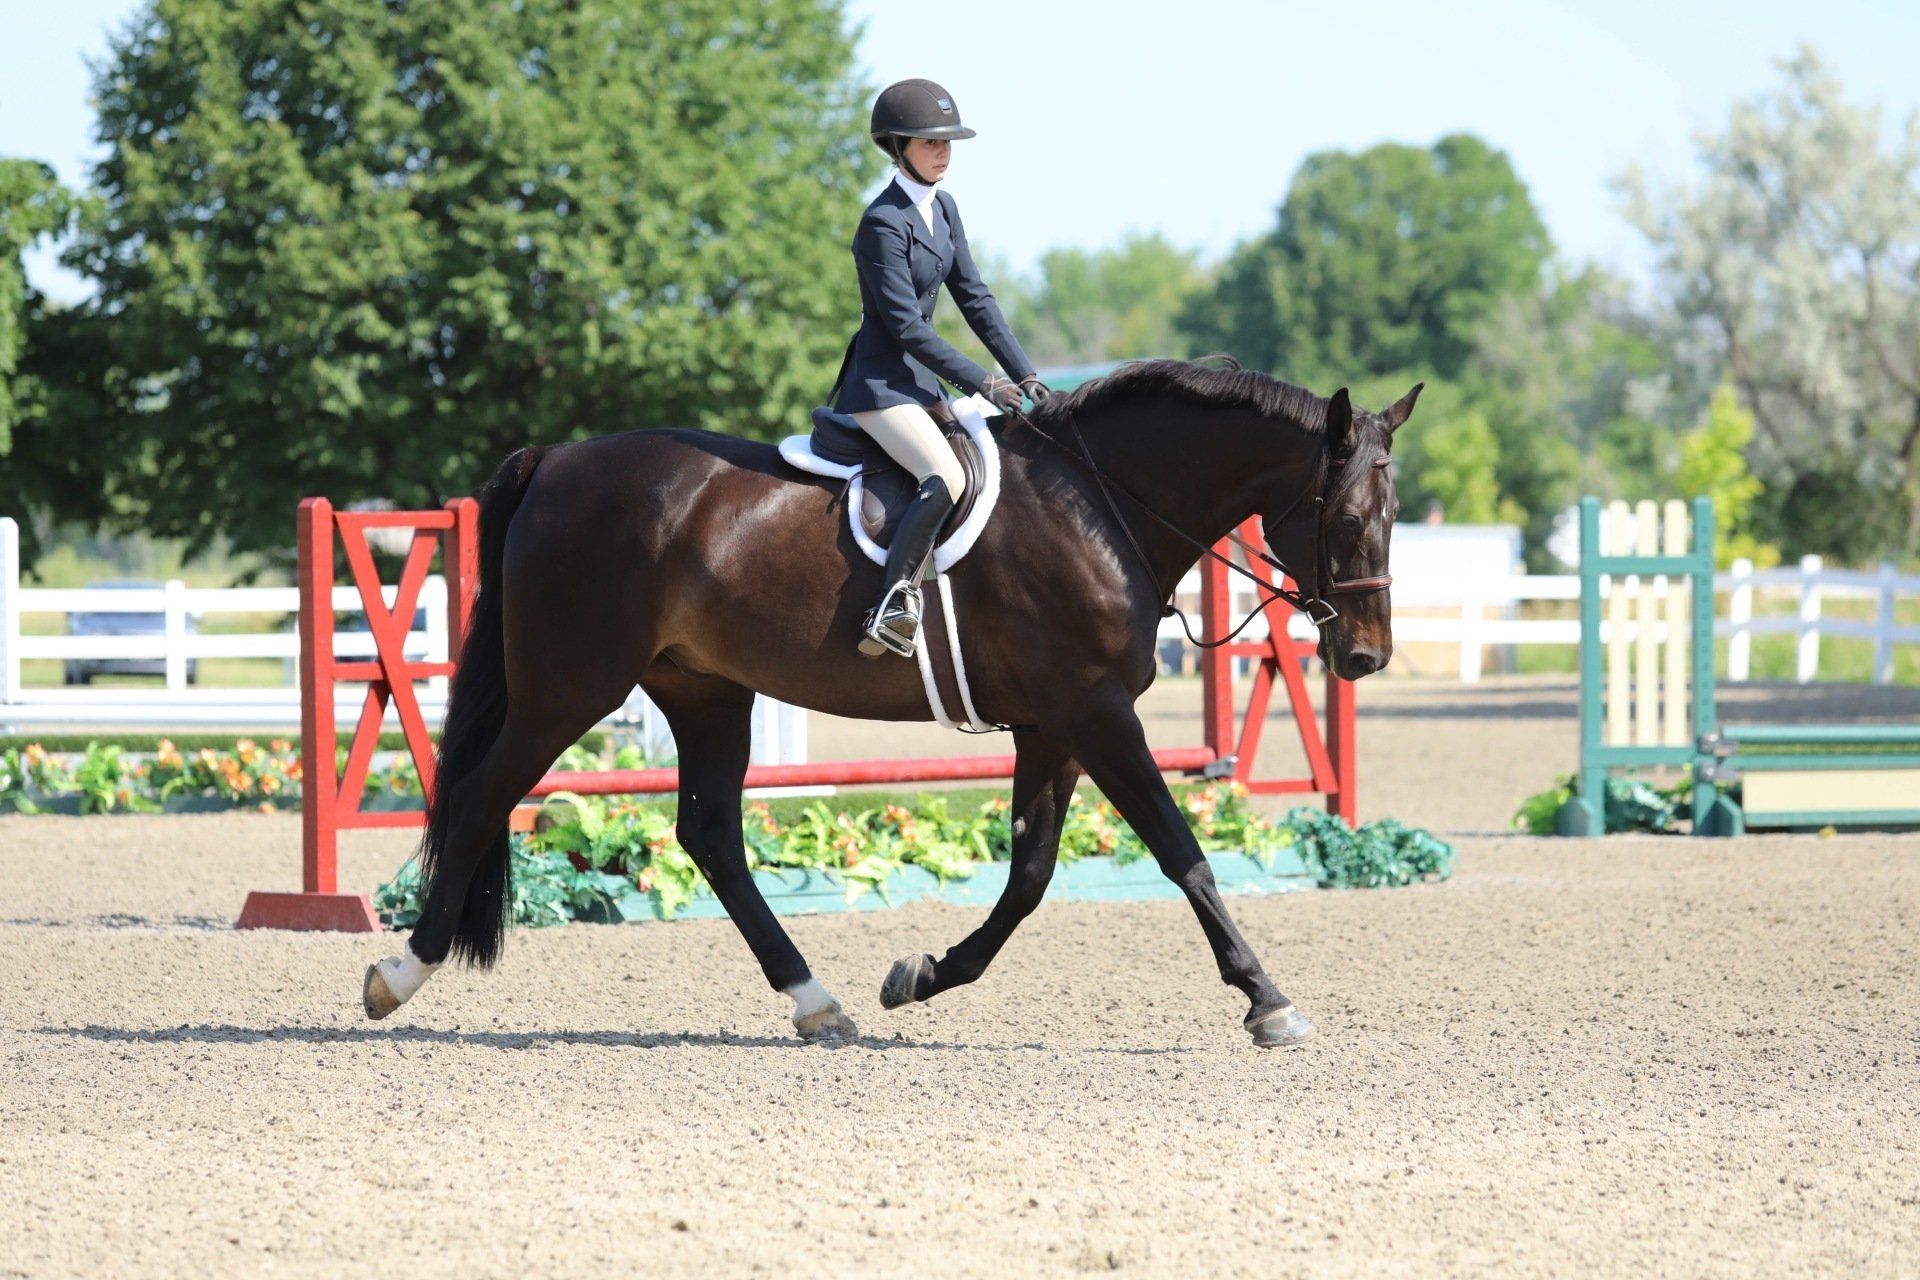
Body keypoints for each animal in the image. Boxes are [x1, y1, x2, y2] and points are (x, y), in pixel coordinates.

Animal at [361, 357, 1420, 1047]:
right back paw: (399, 974)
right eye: (1347, 516)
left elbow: (1031, 875)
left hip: (704, 692)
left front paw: (920, 977)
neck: (1100, 502)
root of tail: (556, 460)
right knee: (481, 797)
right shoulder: (1095, 714)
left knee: (709, 835)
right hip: (570, 685)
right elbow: (1183, 854)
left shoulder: (1053, 725)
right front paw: (1268, 1000)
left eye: (1396, 515)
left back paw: (816, 1004)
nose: (1364, 655)